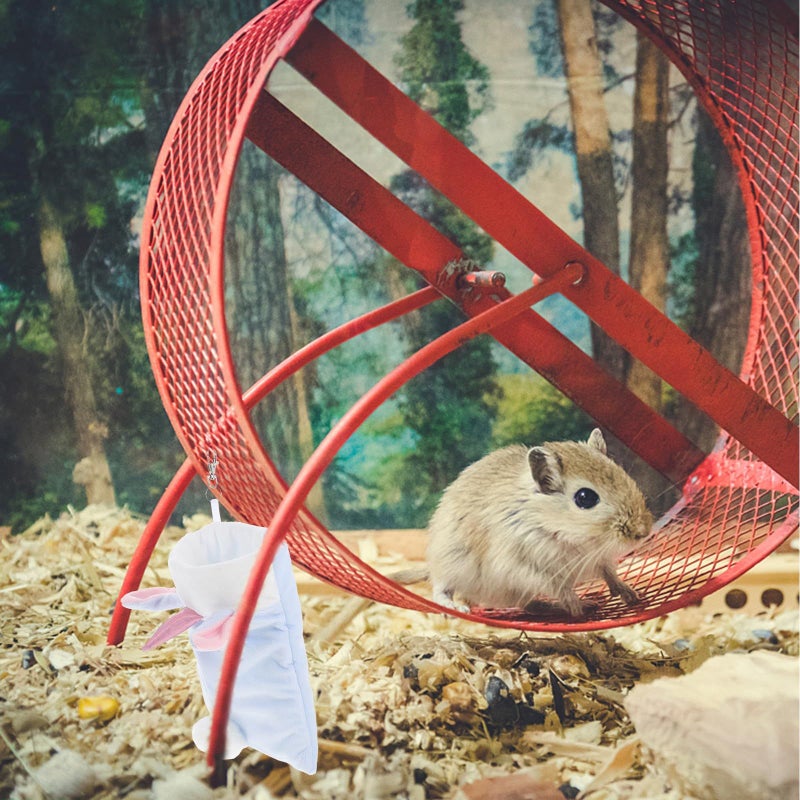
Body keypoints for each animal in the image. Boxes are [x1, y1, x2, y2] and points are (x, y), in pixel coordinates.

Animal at [399, 429, 653, 617]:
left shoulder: (599, 559)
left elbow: (609, 573)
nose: (643, 532)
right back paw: (456, 607)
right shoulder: (529, 568)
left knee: (528, 605)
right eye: (585, 498)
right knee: (440, 589)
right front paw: (579, 607)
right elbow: (562, 588)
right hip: (451, 563)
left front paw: (632, 595)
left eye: (626, 477)